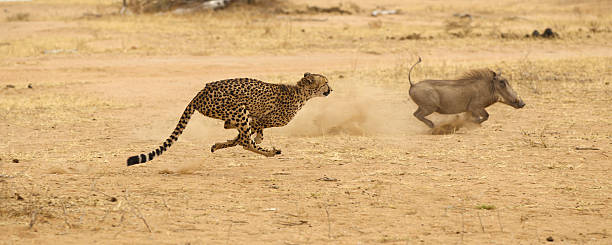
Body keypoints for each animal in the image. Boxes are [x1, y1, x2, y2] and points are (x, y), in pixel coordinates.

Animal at [126, 72, 332, 166]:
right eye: (326, 82)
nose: (332, 89)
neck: (301, 93)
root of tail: (200, 93)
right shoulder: (259, 119)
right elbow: (243, 138)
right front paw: (255, 140)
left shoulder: (254, 119)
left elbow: (243, 135)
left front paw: (222, 144)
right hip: (238, 108)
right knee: (246, 142)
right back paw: (270, 152)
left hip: (236, 111)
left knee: (232, 128)